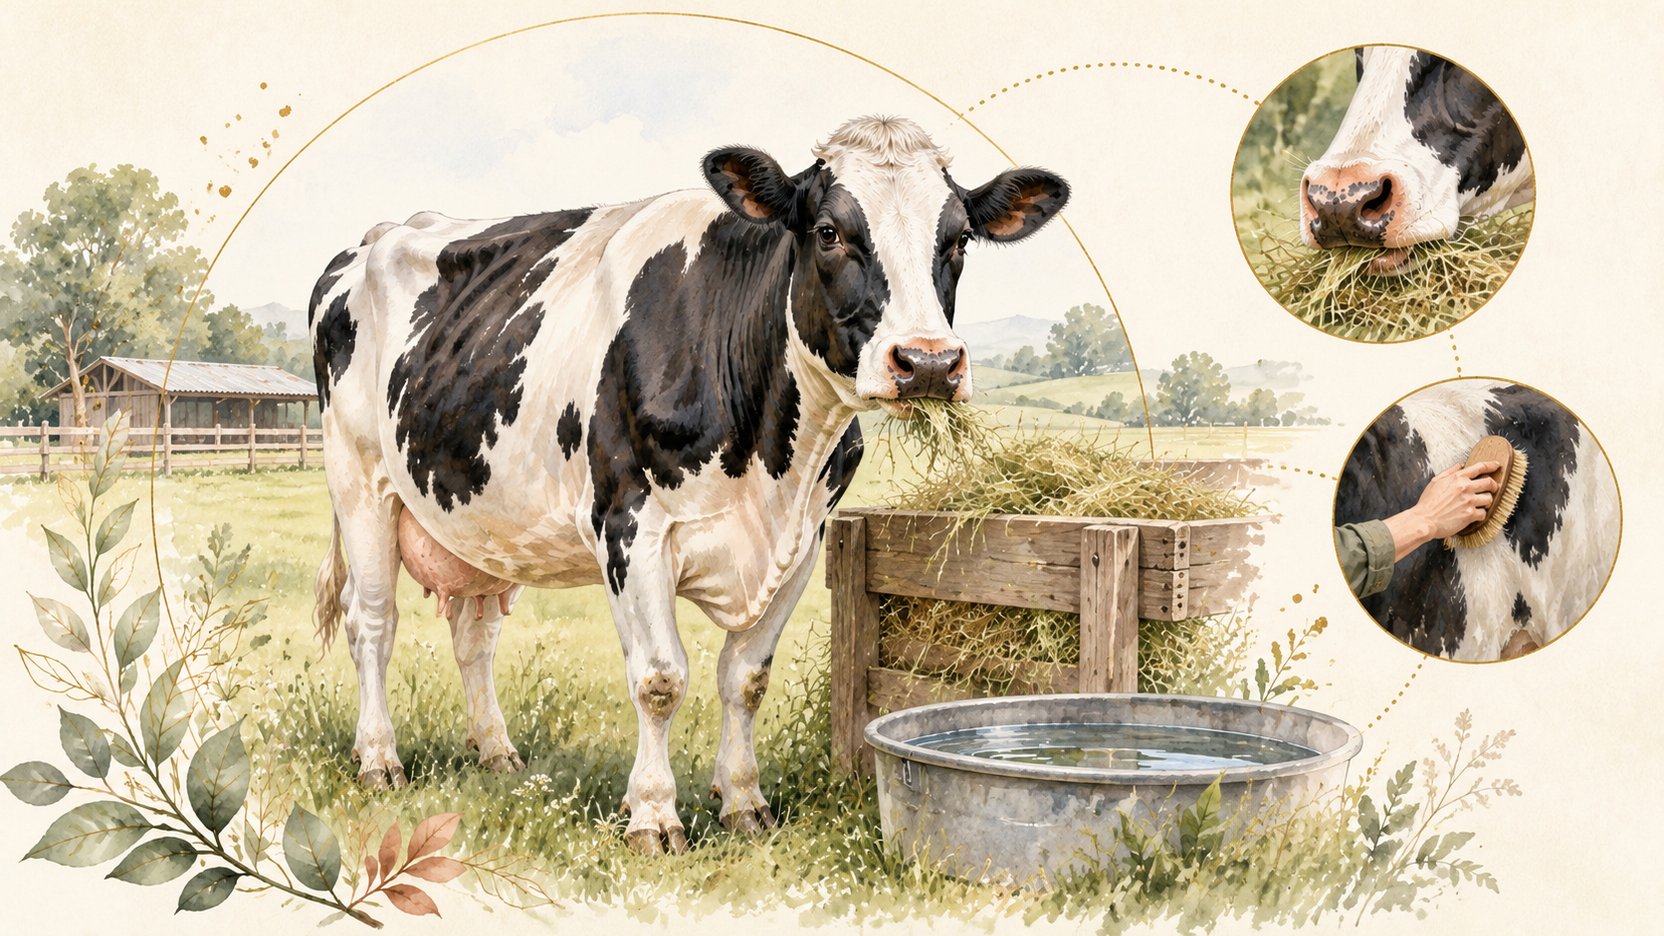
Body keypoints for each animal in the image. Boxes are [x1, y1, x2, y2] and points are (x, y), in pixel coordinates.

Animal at [307, 116, 1069, 854]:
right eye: (828, 232)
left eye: (959, 238)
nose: (929, 363)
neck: (769, 466)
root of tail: (377, 237)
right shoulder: (628, 528)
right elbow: (659, 678)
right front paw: (653, 815)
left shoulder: (804, 540)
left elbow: (746, 679)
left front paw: (744, 804)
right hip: (359, 480)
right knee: (372, 622)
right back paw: (379, 759)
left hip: (482, 520)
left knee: (475, 634)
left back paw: (496, 753)